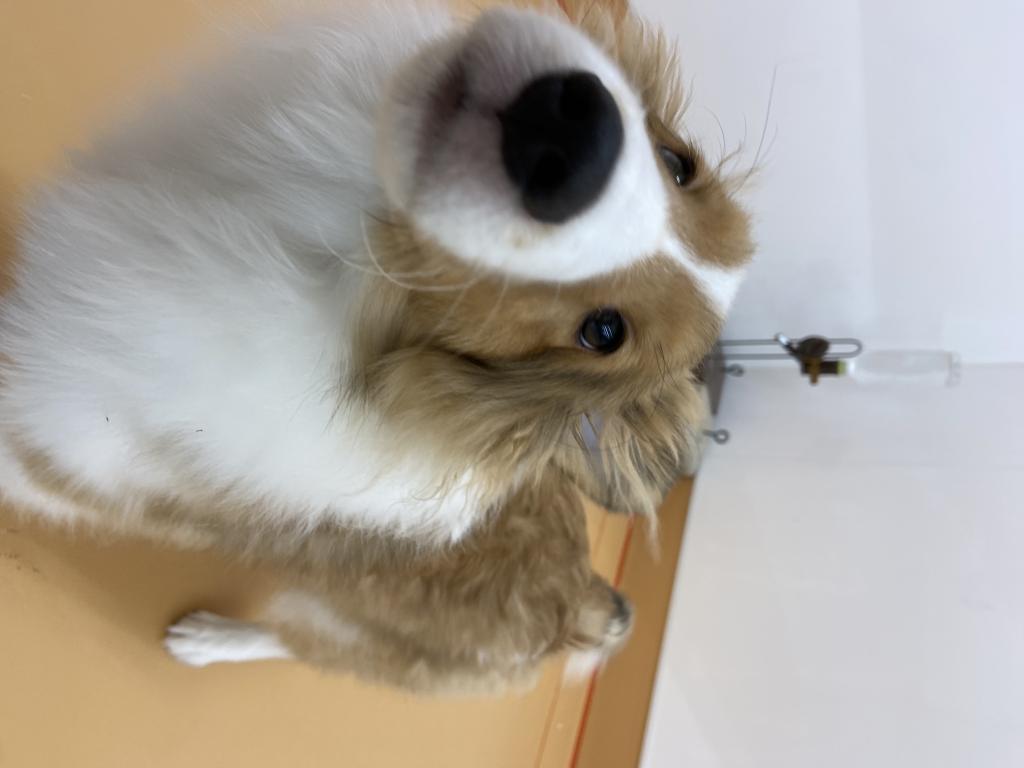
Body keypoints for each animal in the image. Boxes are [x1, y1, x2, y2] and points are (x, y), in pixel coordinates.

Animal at [0, 0, 752, 693]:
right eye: (678, 163)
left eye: (602, 332)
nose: (577, 126)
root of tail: (589, 603)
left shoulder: (67, 448)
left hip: (340, 628)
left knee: (288, 641)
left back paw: (206, 639)